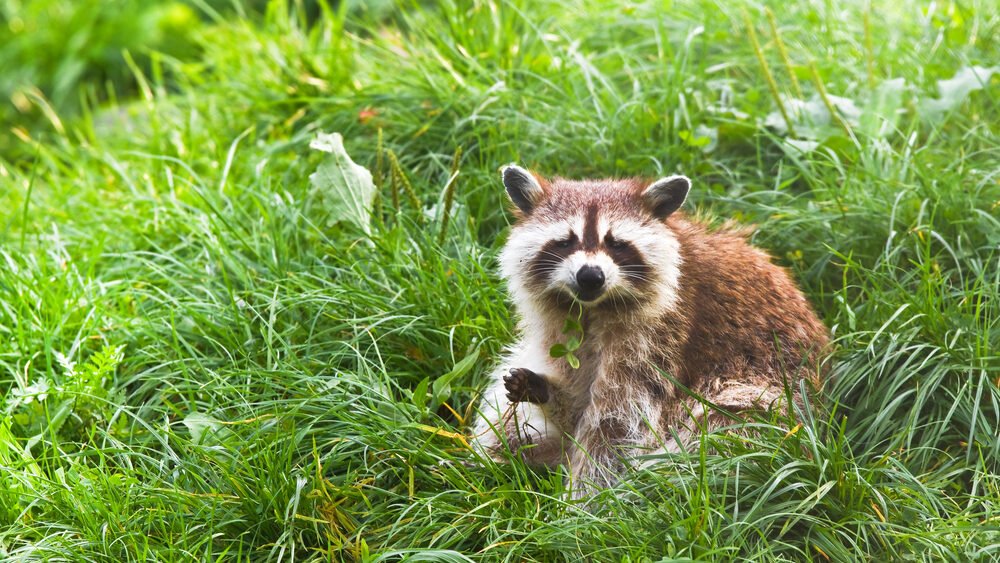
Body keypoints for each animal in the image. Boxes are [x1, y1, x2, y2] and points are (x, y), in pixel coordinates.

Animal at [472, 165, 829, 497]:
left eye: (617, 244)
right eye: (565, 242)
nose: (590, 276)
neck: (592, 309)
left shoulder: (660, 336)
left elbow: (616, 425)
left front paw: (586, 502)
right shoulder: (560, 330)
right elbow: (576, 404)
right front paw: (549, 395)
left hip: (770, 399)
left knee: (720, 433)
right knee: (499, 421)